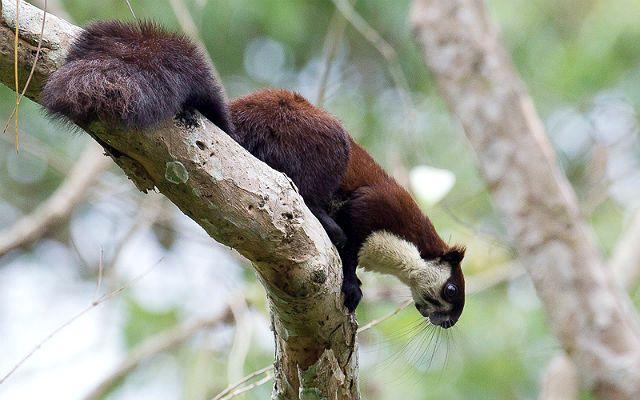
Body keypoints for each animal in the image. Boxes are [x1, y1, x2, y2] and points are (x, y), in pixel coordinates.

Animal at [42, 21, 466, 328]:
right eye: (451, 290)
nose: (447, 322)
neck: (400, 250)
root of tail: (237, 124)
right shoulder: (378, 207)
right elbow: (349, 245)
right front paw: (351, 285)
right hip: (322, 140)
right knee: (310, 195)